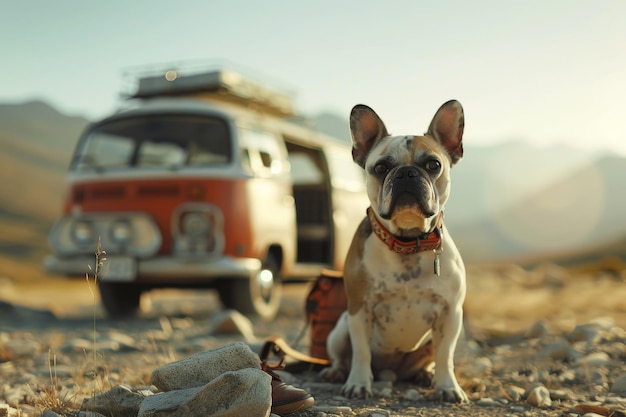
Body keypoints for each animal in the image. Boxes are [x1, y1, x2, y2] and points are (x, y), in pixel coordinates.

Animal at [320, 99, 466, 402]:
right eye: (381, 167)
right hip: (339, 329)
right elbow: (361, 352)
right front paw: (358, 383)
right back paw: (336, 372)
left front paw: (448, 386)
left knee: (432, 357)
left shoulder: (451, 313)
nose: (406, 173)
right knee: (342, 356)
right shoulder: (360, 310)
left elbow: (445, 354)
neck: (408, 243)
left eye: (433, 164)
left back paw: (426, 375)